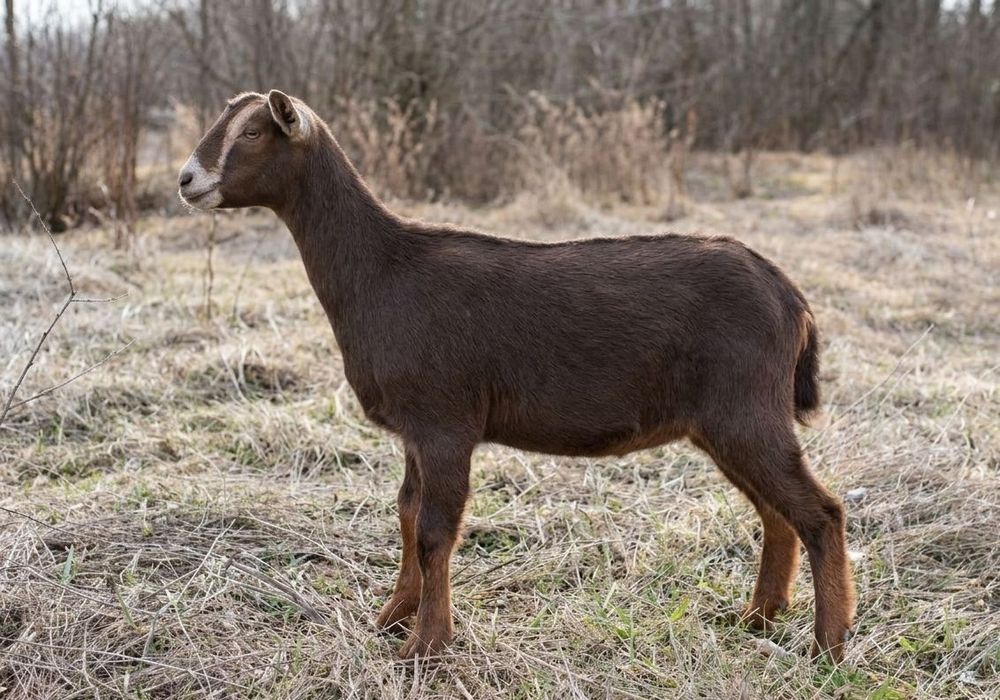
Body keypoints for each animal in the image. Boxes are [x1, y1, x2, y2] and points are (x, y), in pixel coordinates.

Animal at [178, 90, 856, 662]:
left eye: (255, 132)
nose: (187, 179)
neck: (382, 273)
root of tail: (790, 298)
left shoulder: (445, 419)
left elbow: (434, 530)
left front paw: (425, 647)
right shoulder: (415, 429)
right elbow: (405, 512)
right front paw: (391, 619)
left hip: (746, 406)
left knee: (819, 510)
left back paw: (827, 646)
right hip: (723, 420)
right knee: (776, 512)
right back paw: (758, 618)